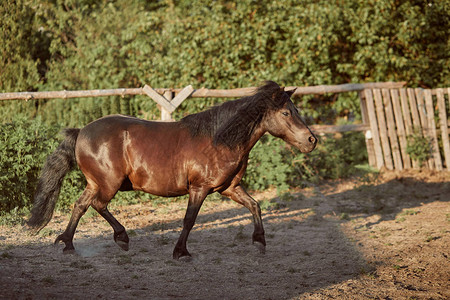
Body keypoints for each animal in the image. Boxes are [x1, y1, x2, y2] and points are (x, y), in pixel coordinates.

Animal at [28, 81, 316, 258]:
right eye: (286, 113)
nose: (311, 140)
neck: (218, 140)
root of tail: (81, 132)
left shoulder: (230, 188)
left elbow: (255, 205)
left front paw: (259, 242)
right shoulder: (199, 188)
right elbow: (189, 219)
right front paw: (181, 252)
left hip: (96, 182)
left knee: (80, 205)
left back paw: (67, 244)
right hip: (109, 184)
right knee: (98, 205)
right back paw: (121, 238)